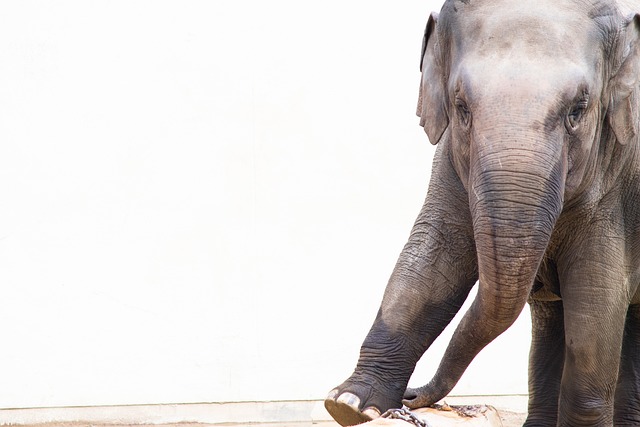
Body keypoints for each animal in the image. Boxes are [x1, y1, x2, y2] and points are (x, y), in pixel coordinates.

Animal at [324, 0, 640, 427]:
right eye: (461, 108)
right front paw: (350, 403)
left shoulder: (614, 184)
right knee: (551, 318)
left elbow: (596, 297)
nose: (410, 399)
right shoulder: (450, 161)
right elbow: (433, 259)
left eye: (578, 110)